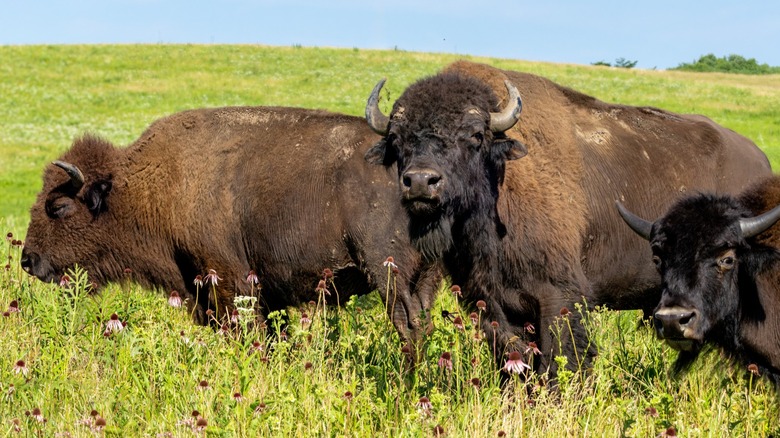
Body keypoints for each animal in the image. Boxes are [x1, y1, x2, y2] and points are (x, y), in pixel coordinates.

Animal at [21, 106, 439, 338]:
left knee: (407, 323)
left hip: (388, 271)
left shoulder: (228, 279)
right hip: (426, 275)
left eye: (58, 207)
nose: (27, 260)